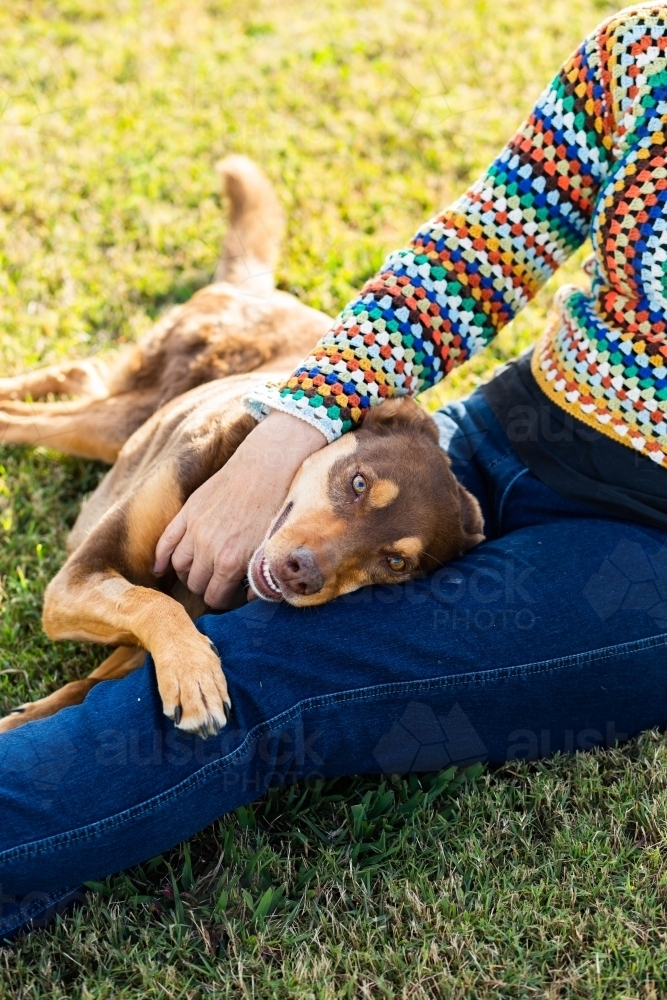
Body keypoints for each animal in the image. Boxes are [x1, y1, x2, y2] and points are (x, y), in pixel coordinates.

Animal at [0, 158, 482, 736]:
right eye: (358, 482)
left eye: (395, 564)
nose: (302, 574)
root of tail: (256, 289)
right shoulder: (74, 582)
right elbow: (151, 601)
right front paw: (193, 675)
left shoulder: (130, 633)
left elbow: (97, 678)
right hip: (129, 413)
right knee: (31, 413)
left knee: (77, 377)